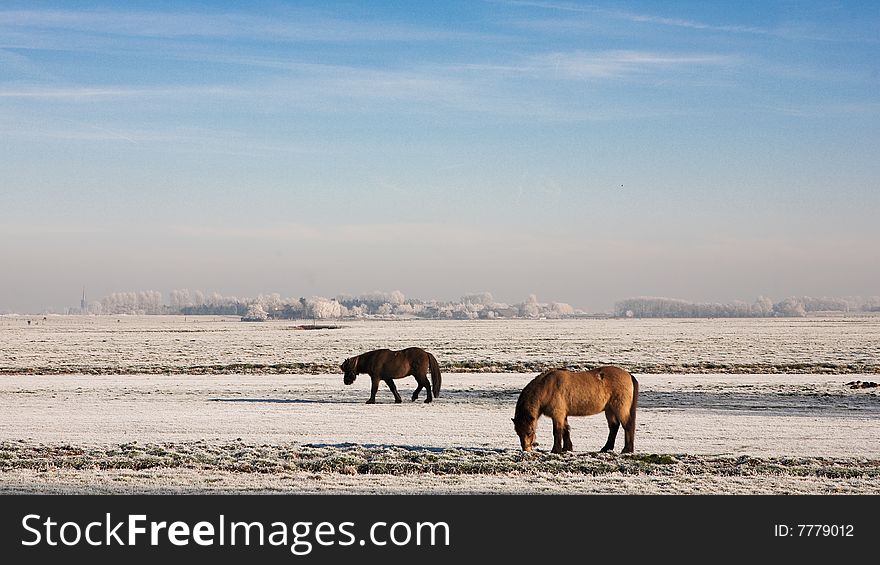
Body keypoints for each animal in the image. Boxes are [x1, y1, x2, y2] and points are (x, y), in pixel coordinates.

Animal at [508, 366, 640, 454]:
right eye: (518, 432)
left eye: (529, 432)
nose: (526, 449)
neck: (547, 388)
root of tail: (629, 375)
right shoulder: (563, 415)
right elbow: (566, 430)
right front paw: (567, 448)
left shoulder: (557, 415)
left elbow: (557, 431)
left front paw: (556, 450)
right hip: (610, 410)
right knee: (614, 427)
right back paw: (606, 448)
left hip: (620, 408)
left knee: (628, 425)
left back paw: (626, 450)